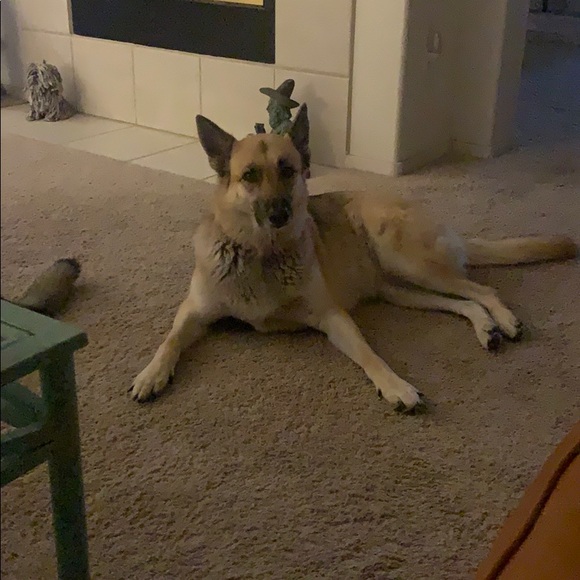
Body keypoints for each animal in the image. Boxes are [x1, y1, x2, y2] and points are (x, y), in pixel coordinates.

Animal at [130, 105, 577, 412]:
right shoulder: (194, 311)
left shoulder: (333, 317)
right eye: (250, 176)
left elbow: (368, 354)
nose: (280, 215)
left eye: (288, 169)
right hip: (402, 290)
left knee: (481, 288)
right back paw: (486, 329)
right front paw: (151, 373)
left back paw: (505, 320)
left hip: (408, 262)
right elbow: (170, 338)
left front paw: (396, 386)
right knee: (463, 302)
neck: (262, 252)